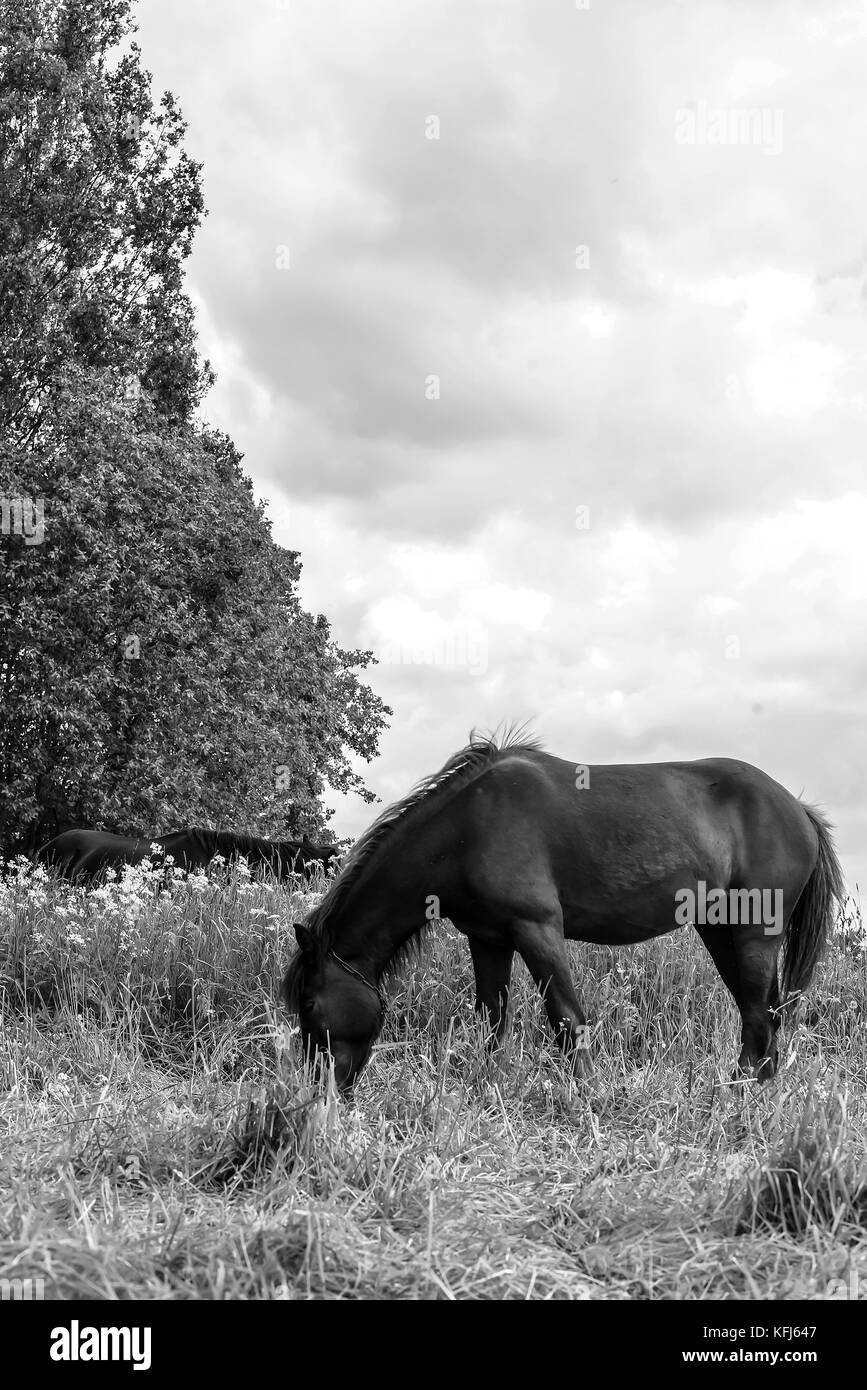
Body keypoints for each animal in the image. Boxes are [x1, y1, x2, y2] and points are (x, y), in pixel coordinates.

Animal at [282, 730, 844, 1091]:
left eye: (309, 1004)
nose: (320, 1091)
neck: (467, 827)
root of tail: (799, 810)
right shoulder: (488, 939)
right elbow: (493, 1018)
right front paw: (489, 1085)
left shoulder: (537, 931)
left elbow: (567, 1020)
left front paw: (586, 1097)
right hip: (720, 932)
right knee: (761, 1014)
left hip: (754, 935)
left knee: (759, 1016)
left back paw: (738, 1095)